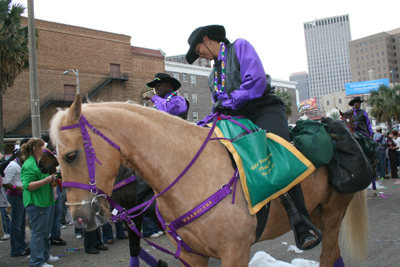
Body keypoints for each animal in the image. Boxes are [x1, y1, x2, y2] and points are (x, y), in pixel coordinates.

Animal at [50, 94, 368, 267]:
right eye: (57, 160)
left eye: (71, 156)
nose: (80, 218)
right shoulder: (191, 255)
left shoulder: (235, 252)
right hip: (320, 212)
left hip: (332, 215)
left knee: (329, 255)